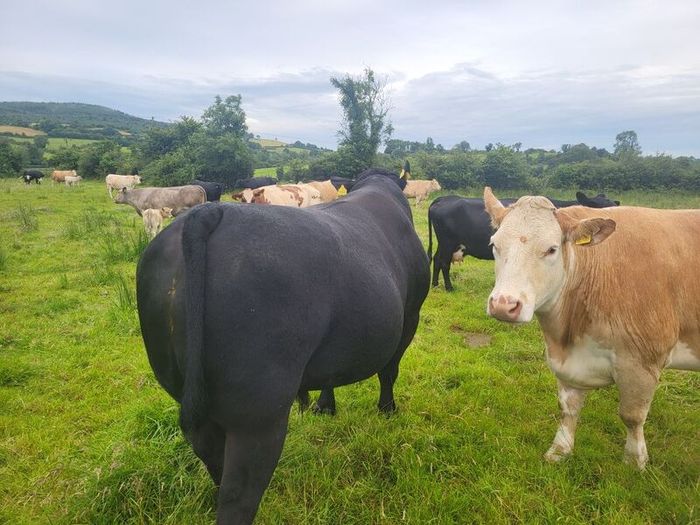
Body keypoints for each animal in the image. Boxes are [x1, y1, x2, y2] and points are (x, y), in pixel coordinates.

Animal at [136, 168, 430, 523]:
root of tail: (210, 213)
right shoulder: (410, 315)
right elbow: (389, 371)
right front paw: (387, 410)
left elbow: (331, 374)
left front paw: (325, 407)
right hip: (259, 414)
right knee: (239, 494)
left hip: (191, 395)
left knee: (212, 459)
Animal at [428, 191, 620, 291]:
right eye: (596, 205)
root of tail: (444, 198)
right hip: (448, 243)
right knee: (443, 263)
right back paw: (449, 287)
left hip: (443, 244)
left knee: (437, 260)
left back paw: (435, 284)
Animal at [483, 187, 699, 469]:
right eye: (494, 245)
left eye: (551, 249)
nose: (503, 305)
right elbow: (568, 407)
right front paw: (560, 450)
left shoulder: (642, 361)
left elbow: (632, 416)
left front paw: (634, 462)